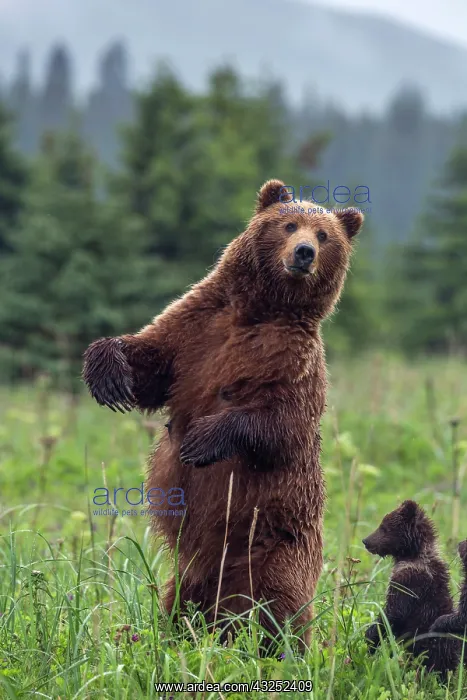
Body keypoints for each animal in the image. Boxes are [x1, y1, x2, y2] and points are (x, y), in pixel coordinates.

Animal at [82, 179, 364, 650]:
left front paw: (203, 440)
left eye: (325, 236)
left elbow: (285, 423)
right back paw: (174, 634)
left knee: (279, 604)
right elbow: (152, 361)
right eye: (289, 224)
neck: (262, 309)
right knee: (179, 602)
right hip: (191, 574)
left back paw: (279, 645)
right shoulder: (197, 328)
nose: (304, 252)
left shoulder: (294, 361)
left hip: (277, 547)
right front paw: (108, 372)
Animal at [362, 500, 460, 677]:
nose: (366, 541)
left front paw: (371, 638)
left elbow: (393, 613)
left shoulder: (409, 583)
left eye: (384, 527)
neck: (412, 556)